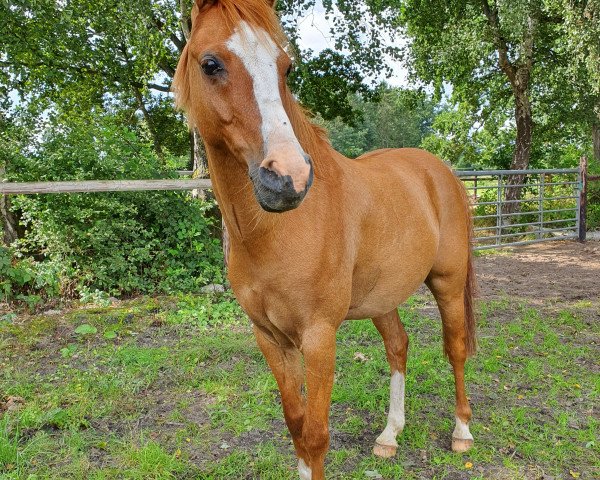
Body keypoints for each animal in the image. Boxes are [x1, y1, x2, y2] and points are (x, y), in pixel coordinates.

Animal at [173, 1, 478, 478]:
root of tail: (440, 170)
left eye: (286, 66)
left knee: (456, 349)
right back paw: (389, 436)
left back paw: (462, 431)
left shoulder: (318, 339)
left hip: (447, 283)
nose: (288, 178)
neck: (273, 233)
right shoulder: (270, 338)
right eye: (210, 64)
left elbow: (315, 436)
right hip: (382, 298)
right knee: (398, 347)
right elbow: (296, 427)